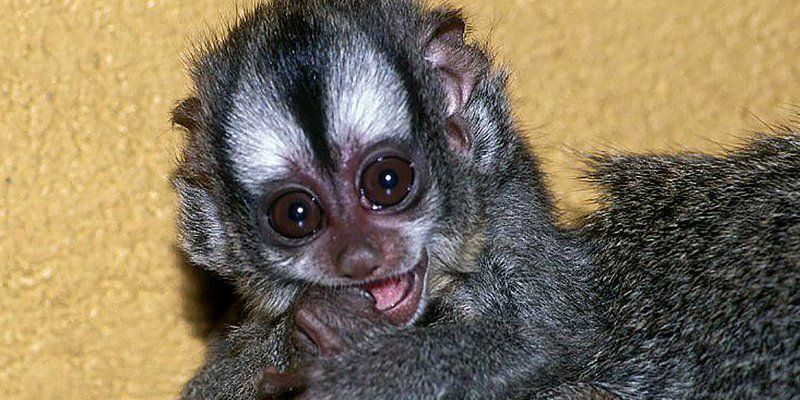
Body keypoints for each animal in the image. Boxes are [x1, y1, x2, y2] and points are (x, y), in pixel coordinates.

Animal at [171, 0, 799, 398]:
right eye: (296, 214)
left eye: (387, 183)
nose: (360, 257)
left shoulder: (511, 221)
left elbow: (548, 337)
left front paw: (350, 366)